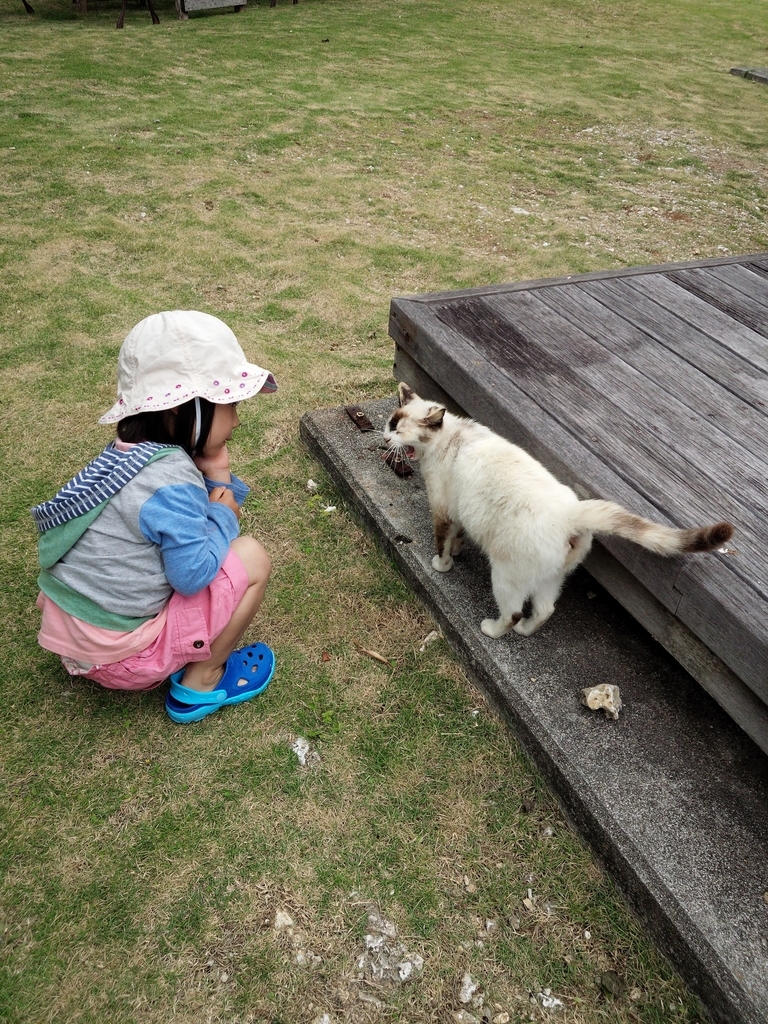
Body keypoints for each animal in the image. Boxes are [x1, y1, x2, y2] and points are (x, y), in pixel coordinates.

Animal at [382, 385, 733, 638]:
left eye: (398, 430)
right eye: (390, 424)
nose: (385, 437)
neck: (451, 437)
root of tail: (571, 513)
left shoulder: (442, 509)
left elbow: (442, 543)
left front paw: (442, 565)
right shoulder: (458, 514)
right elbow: (457, 537)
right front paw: (458, 550)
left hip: (506, 575)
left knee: (513, 612)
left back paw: (493, 630)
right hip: (550, 577)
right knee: (544, 610)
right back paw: (526, 632)